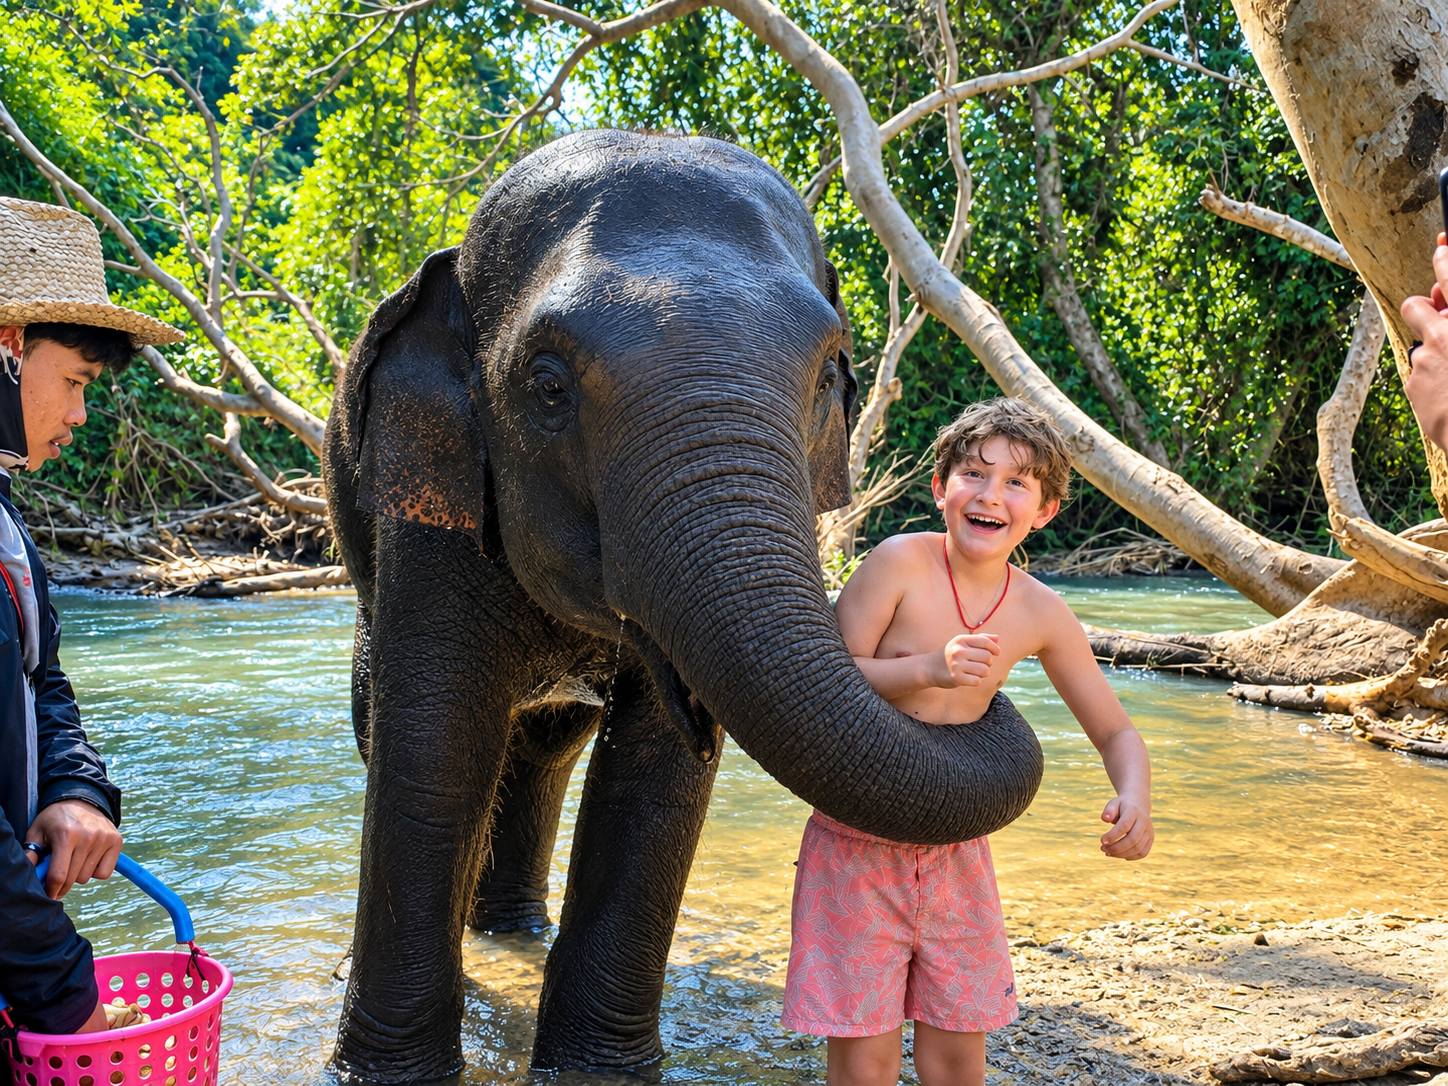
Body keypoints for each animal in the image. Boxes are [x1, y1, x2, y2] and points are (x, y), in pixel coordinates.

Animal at [322, 128, 1044, 1082]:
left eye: (828, 374)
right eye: (547, 386)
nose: (983, 674)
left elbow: (654, 778)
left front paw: (594, 1073)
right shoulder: (429, 513)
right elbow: (433, 746)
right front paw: (388, 1075)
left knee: (547, 748)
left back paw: (513, 931)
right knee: (396, 726)